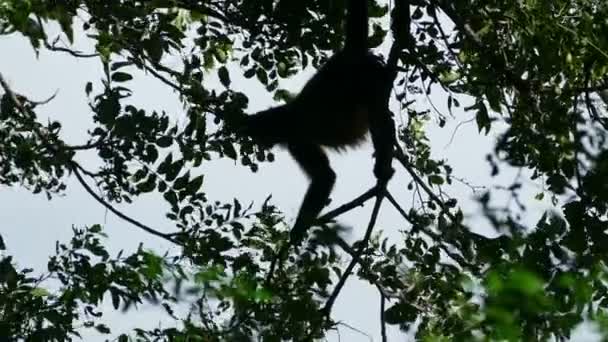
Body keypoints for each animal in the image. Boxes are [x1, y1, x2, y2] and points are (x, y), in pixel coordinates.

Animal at [240, 0, 396, 244]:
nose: (258, 142)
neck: (286, 116)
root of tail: (348, 54)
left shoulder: (297, 139)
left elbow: (325, 177)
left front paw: (297, 231)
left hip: (368, 79)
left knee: (378, 117)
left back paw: (382, 169)